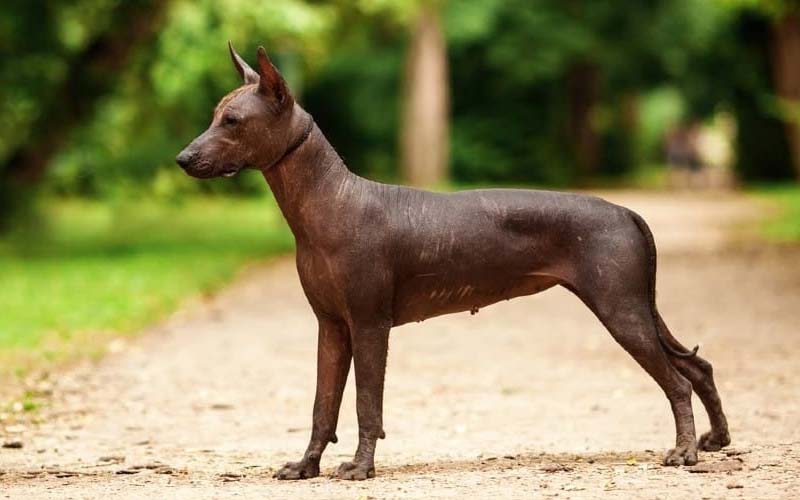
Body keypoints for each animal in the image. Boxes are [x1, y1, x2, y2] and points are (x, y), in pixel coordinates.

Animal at [177, 44, 732, 480]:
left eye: (232, 121)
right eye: (213, 115)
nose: (183, 159)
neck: (331, 200)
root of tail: (628, 212)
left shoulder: (371, 325)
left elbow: (366, 403)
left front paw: (361, 467)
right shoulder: (332, 327)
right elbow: (322, 405)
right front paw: (306, 466)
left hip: (621, 310)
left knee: (678, 380)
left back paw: (684, 452)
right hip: (637, 308)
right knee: (698, 366)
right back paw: (715, 440)